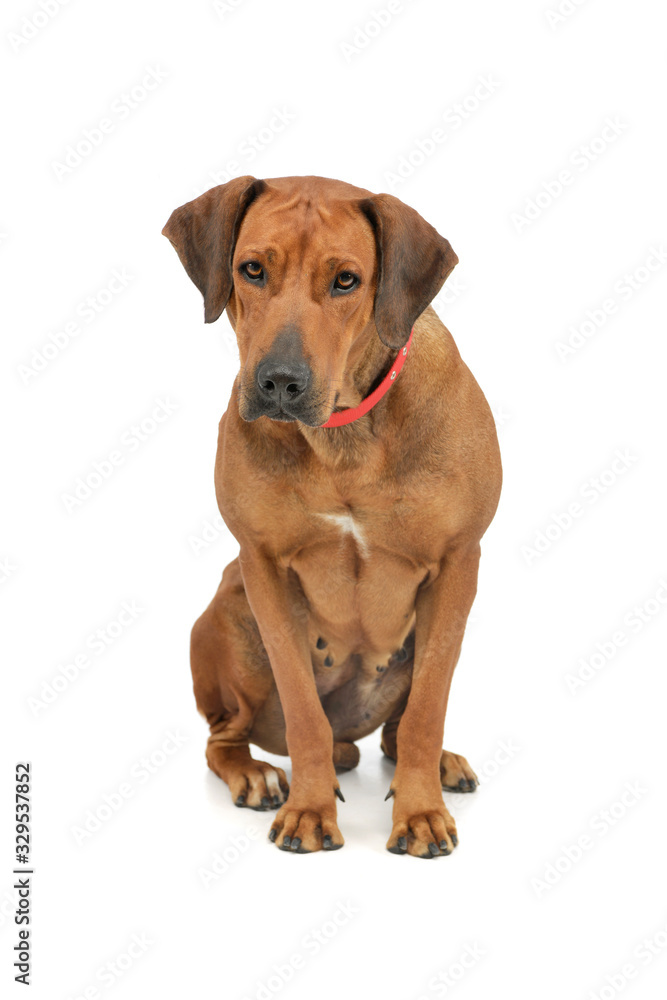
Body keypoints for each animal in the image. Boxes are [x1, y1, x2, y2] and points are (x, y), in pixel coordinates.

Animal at [163, 176, 500, 856]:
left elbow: (427, 710)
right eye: (253, 269)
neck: (345, 433)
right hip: (231, 616)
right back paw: (258, 774)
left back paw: (435, 765)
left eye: (346, 280)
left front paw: (420, 814)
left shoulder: (458, 563)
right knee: (226, 736)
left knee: (400, 727)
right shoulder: (263, 567)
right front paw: (308, 810)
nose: (279, 382)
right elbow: (302, 712)